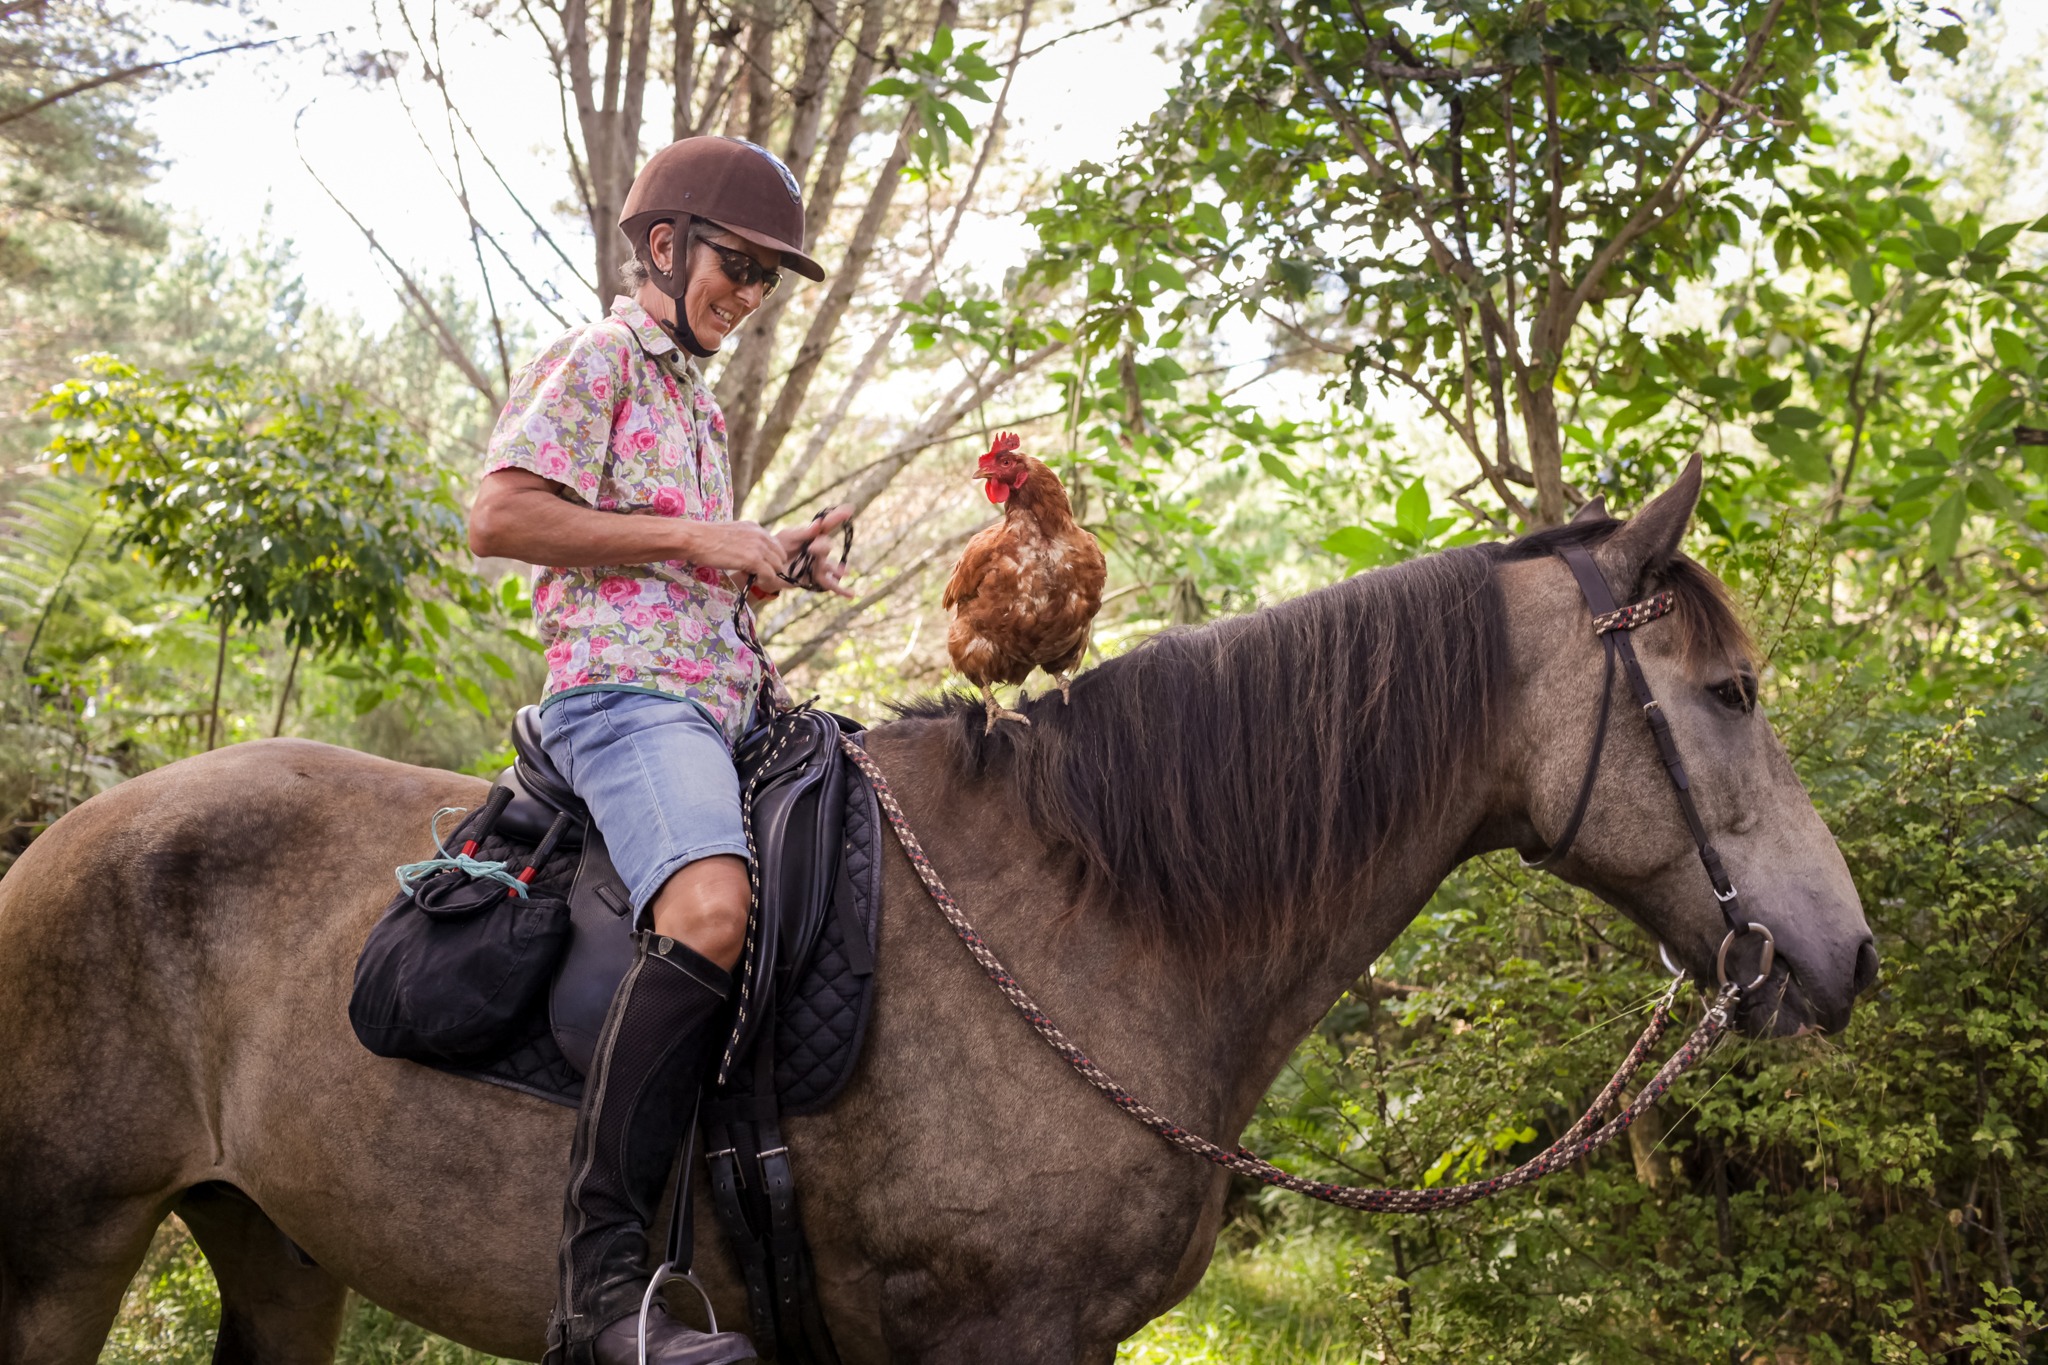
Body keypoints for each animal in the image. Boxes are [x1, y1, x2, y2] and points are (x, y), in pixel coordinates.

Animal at [0, 460, 1876, 1363]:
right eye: (1728, 693)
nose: (1842, 956)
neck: (1101, 919)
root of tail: (65, 840)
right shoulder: (1001, 1338)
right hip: (64, 1251)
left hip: (276, 1247)